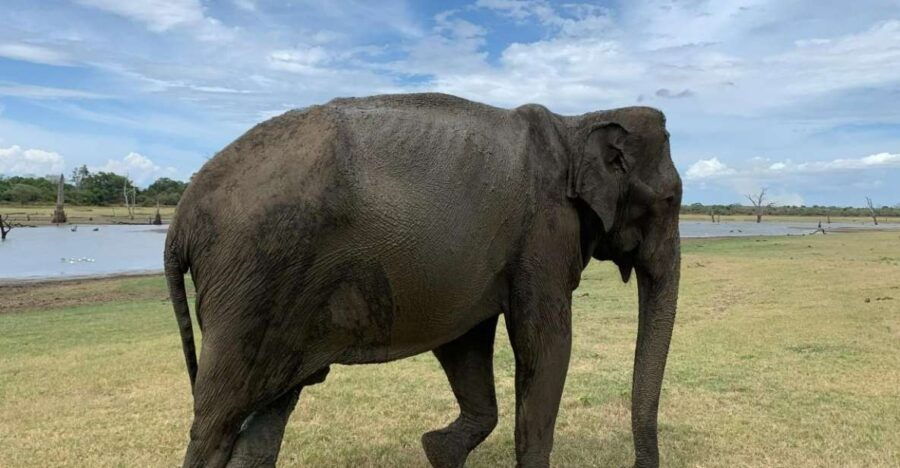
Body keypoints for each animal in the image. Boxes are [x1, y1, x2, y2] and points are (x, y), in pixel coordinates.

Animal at [165, 92, 680, 468]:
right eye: (671, 200)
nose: (639, 465)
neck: (577, 123)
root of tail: (179, 221)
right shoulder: (544, 234)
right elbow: (546, 344)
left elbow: (466, 343)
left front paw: (437, 450)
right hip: (252, 278)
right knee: (217, 420)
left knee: (265, 417)